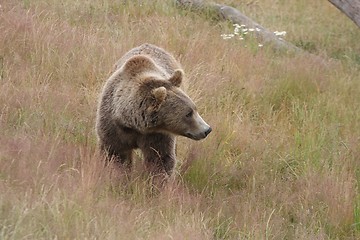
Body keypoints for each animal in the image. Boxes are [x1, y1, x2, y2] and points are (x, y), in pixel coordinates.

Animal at [95, 44, 212, 180]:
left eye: (194, 108)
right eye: (188, 114)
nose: (207, 129)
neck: (133, 123)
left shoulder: (157, 135)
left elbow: (160, 159)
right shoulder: (113, 127)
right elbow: (116, 155)